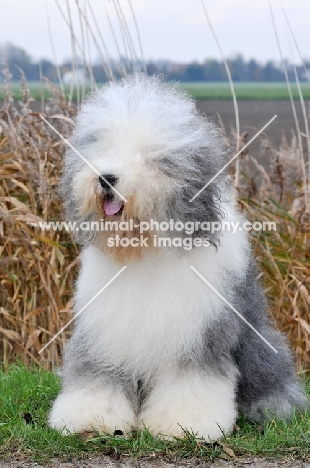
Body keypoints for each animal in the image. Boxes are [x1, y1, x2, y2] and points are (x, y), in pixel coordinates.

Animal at [49, 73, 308, 438]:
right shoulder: (104, 332)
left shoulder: (200, 333)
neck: (144, 250)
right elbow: (97, 375)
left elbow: (191, 380)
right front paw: (90, 416)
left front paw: (183, 423)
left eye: (150, 159)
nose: (106, 178)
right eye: (102, 147)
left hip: (261, 347)